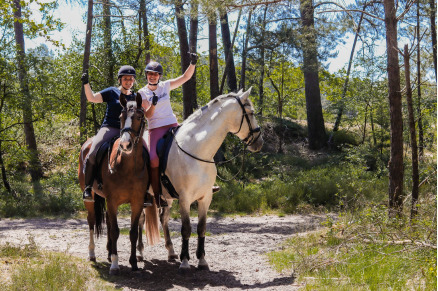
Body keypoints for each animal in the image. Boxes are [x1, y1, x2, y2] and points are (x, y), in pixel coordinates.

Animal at [78, 92, 161, 274]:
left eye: (139, 116)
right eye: (121, 117)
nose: (125, 144)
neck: (127, 167)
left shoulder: (137, 202)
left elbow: (132, 232)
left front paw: (133, 263)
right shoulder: (113, 201)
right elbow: (116, 231)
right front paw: (115, 265)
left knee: (108, 222)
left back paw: (109, 253)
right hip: (92, 197)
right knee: (92, 221)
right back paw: (93, 254)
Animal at [147, 87, 264, 274]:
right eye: (251, 113)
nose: (259, 141)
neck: (196, 150)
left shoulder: (205, 198)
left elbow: (201, 228)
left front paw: (202, 260)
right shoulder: (185, 199)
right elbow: (186, 229)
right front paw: (185, 261)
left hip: (165, 199)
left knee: (162, 219)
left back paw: (170, 252)